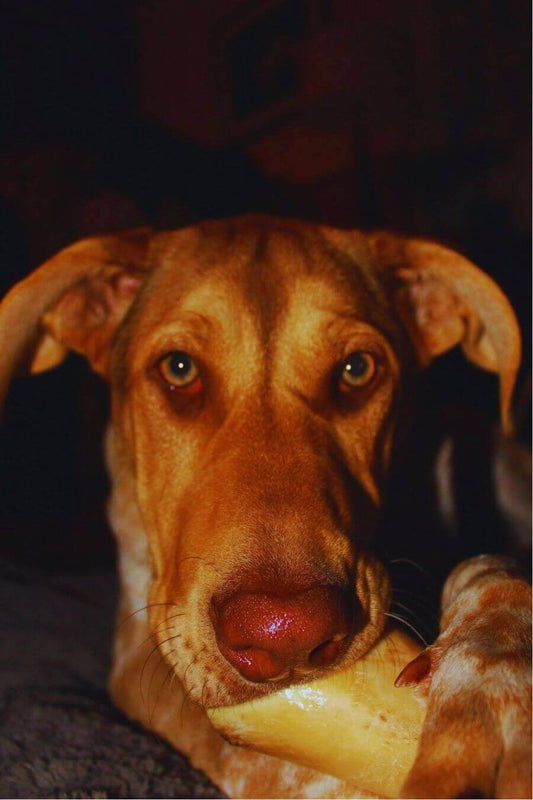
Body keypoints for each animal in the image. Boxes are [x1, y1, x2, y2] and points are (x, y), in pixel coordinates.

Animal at [0, 216, 528, 796]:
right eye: (179, 369)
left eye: (357, 368)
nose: (287, 637)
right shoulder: (141, 648)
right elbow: (245, 749)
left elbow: (488, 568)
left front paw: (489, 690)